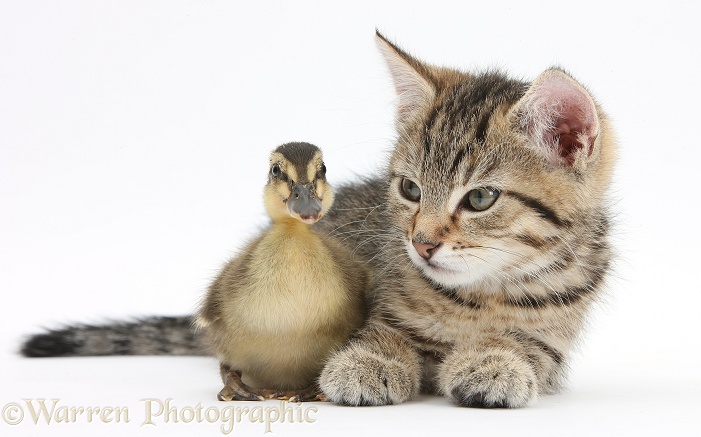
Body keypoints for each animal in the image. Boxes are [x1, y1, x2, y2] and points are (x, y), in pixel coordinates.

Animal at [314, 32, 616, 408]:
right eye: (410, 189)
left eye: (480, 198)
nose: (421, 244)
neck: (482, 294)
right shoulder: (389, 308)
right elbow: (385, 331)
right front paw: (371, 360)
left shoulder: (551, 341)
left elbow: (521, 342)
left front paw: (494, 361)